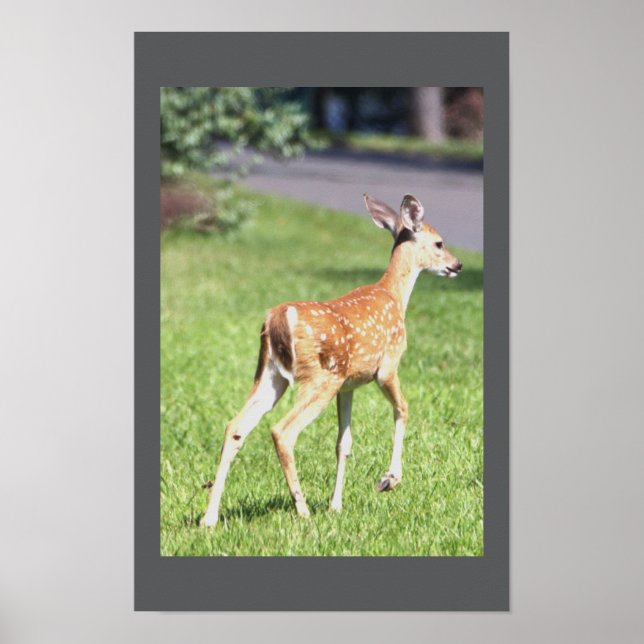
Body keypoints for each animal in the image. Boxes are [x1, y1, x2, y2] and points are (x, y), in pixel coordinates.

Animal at [200, 193, 462, 528]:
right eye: (439, 243)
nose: (457, 264)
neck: (393, 296)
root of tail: (277, 319)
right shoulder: (387, 365)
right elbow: (403, 409)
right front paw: (389, 479)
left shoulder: (348, 385)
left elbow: (343, 442)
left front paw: (335, 505)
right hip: (320, 377)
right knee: (283, 431)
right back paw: (302, 509)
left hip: (271, 375)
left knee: (236, 426)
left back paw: (209, 518)